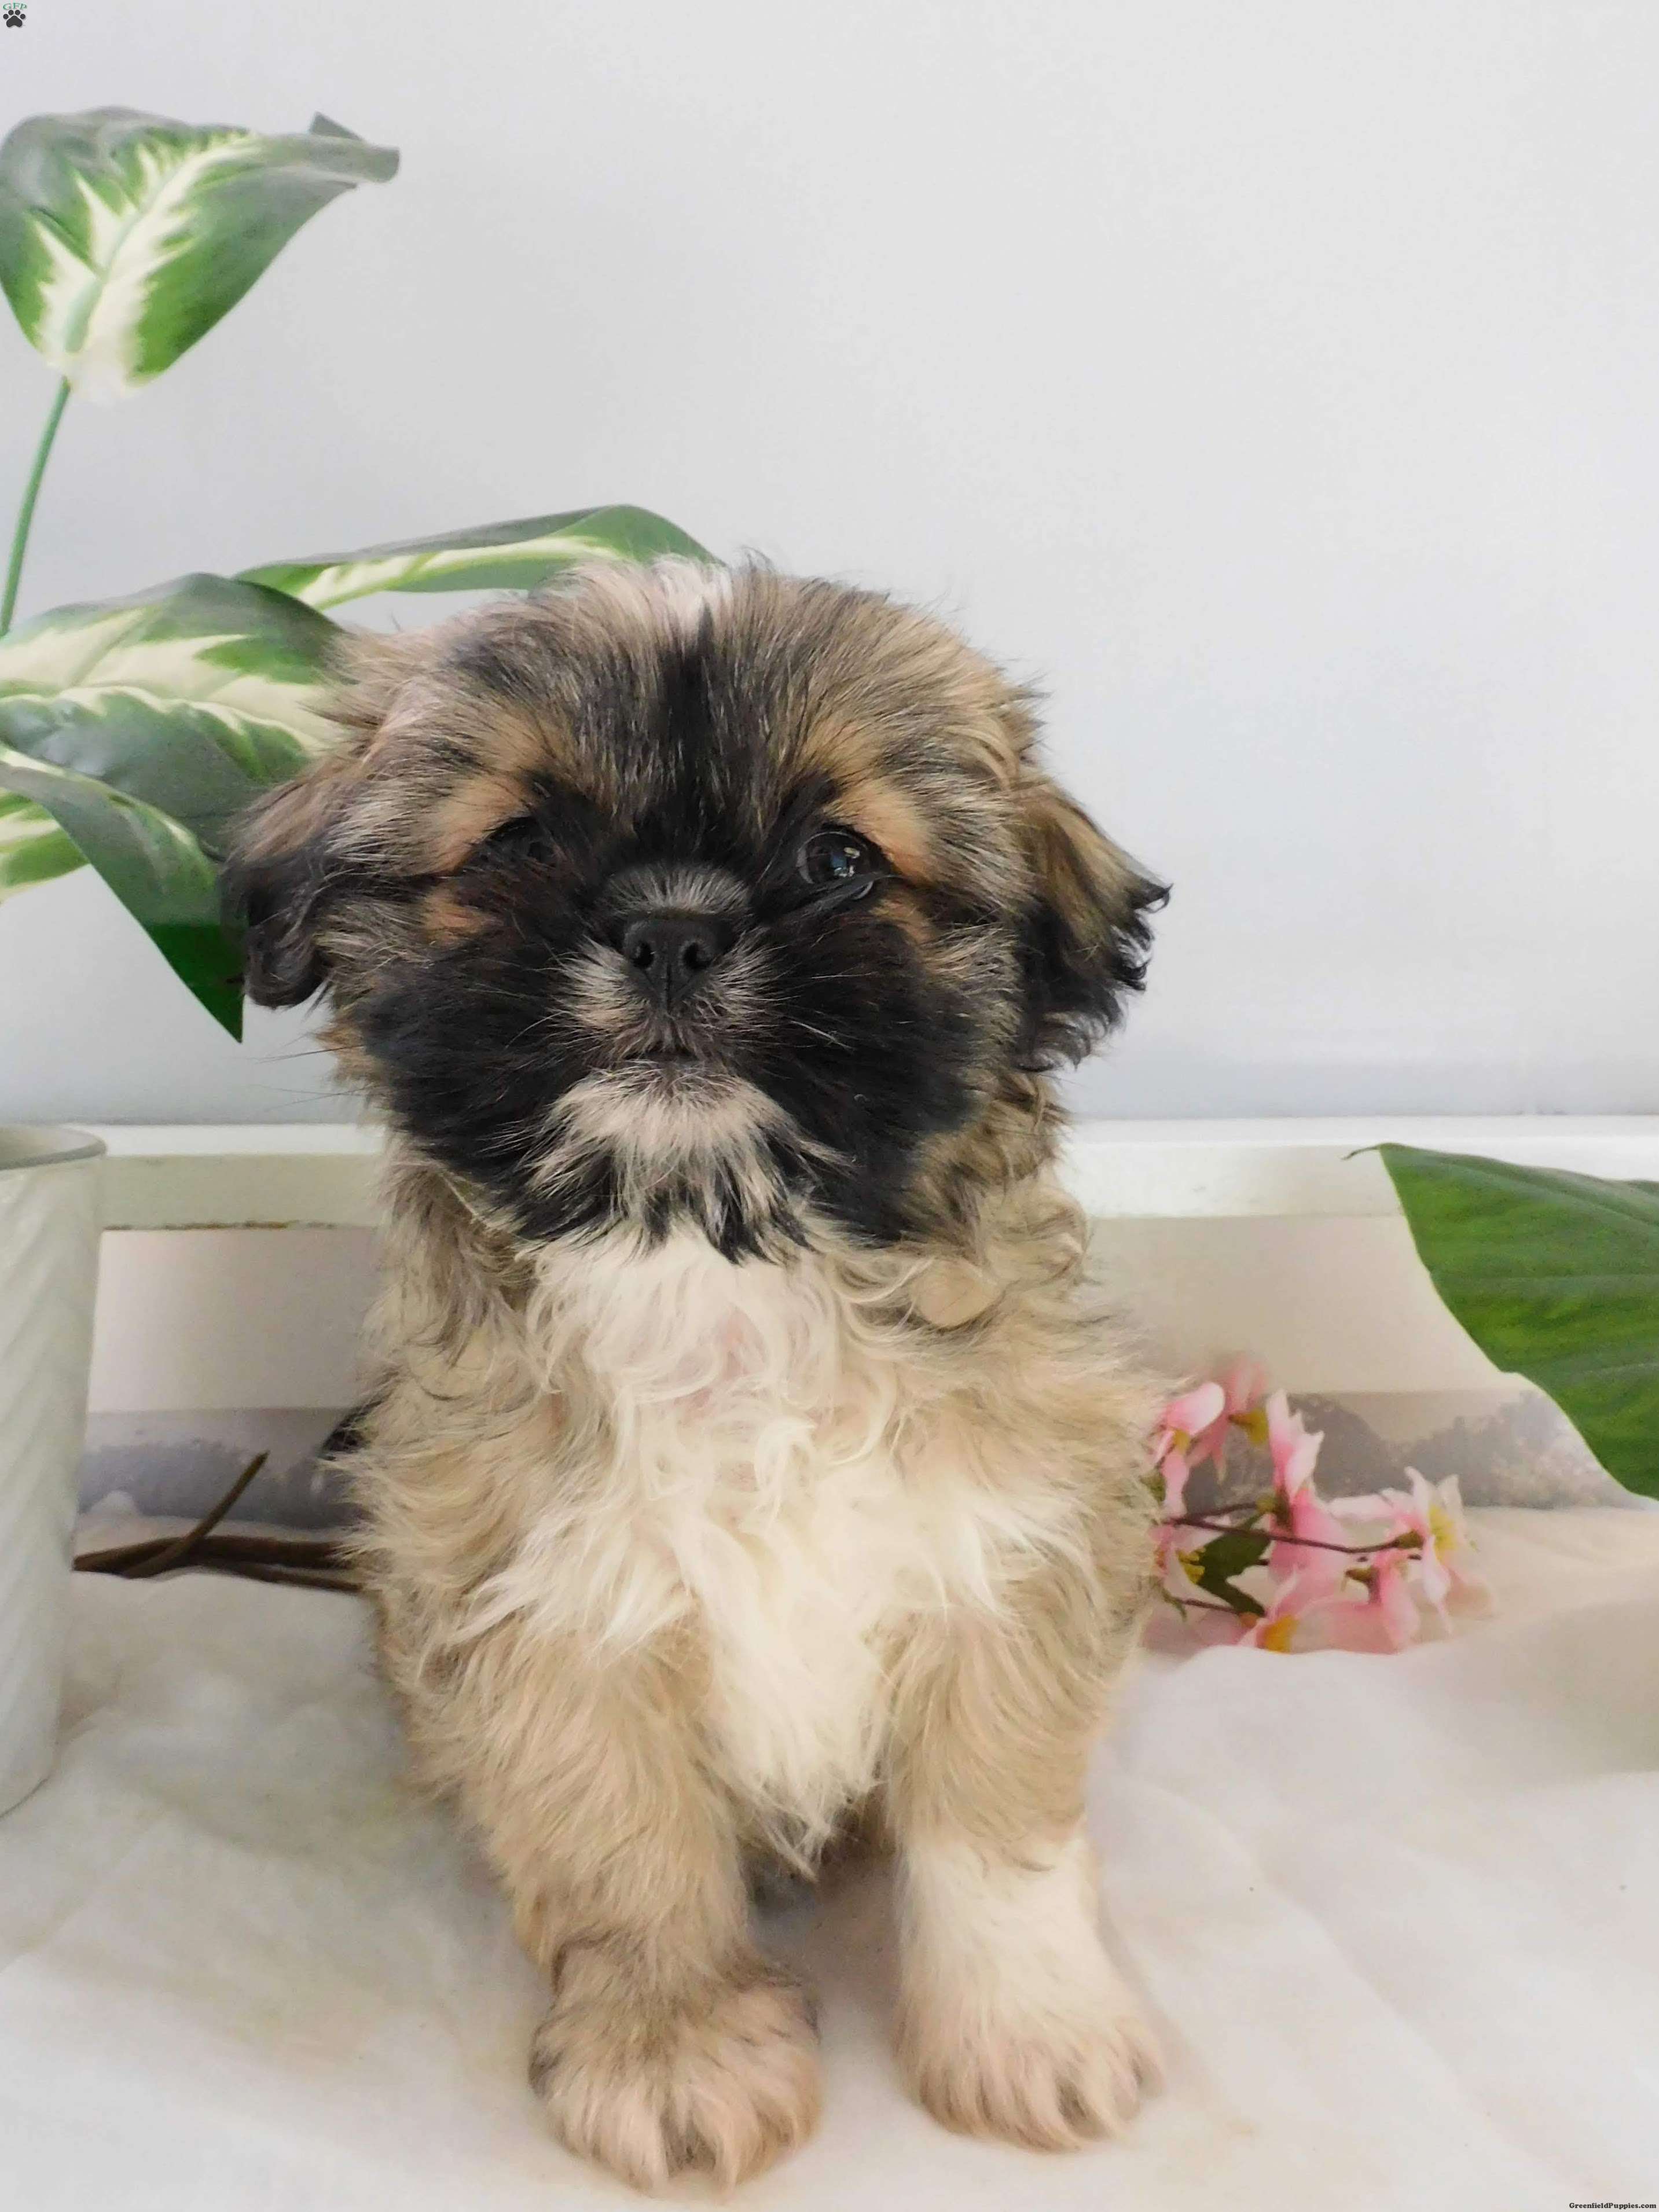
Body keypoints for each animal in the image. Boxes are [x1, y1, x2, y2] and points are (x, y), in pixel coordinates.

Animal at [228, 560, 1169, 2191]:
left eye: (840, 860)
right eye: (523, 842)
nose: (673, 929)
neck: (710, 1266)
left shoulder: (1010, 1550)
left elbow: (995, 1828)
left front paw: (1024, 2033)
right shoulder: (547, 1613)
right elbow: (625, 1850)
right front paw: (674, 2049)